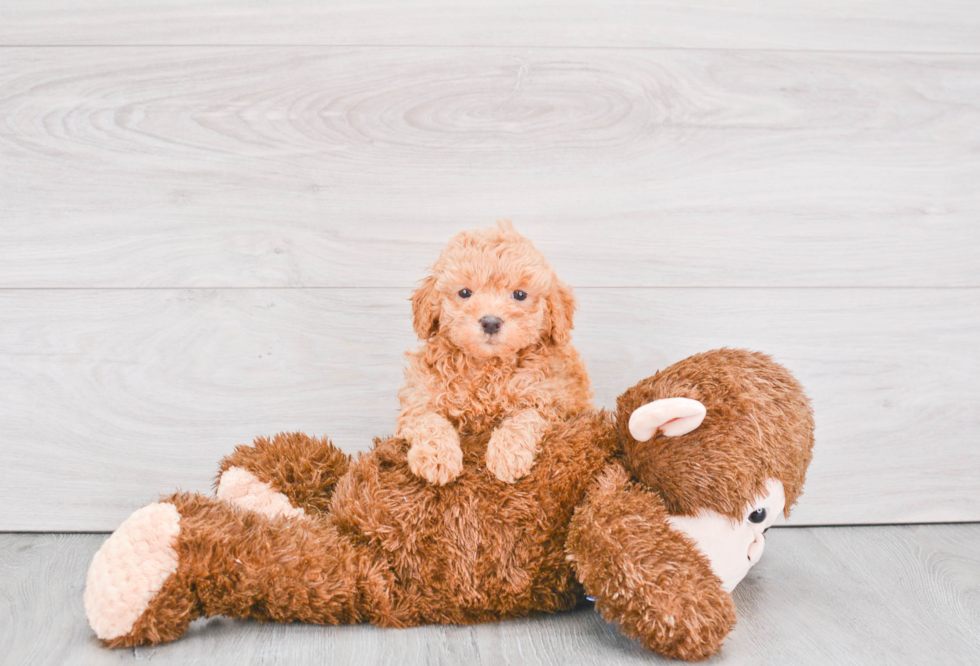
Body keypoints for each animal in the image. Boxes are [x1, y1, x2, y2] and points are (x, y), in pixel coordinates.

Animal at [394, 219, 592, 482]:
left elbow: (523, 418)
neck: (486, 366)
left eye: (519, 294)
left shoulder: (549, 400)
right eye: (465, 292)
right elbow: (429, 420)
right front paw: (437, 458)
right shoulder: (419, 399)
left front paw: (507, 456)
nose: (490, 322)